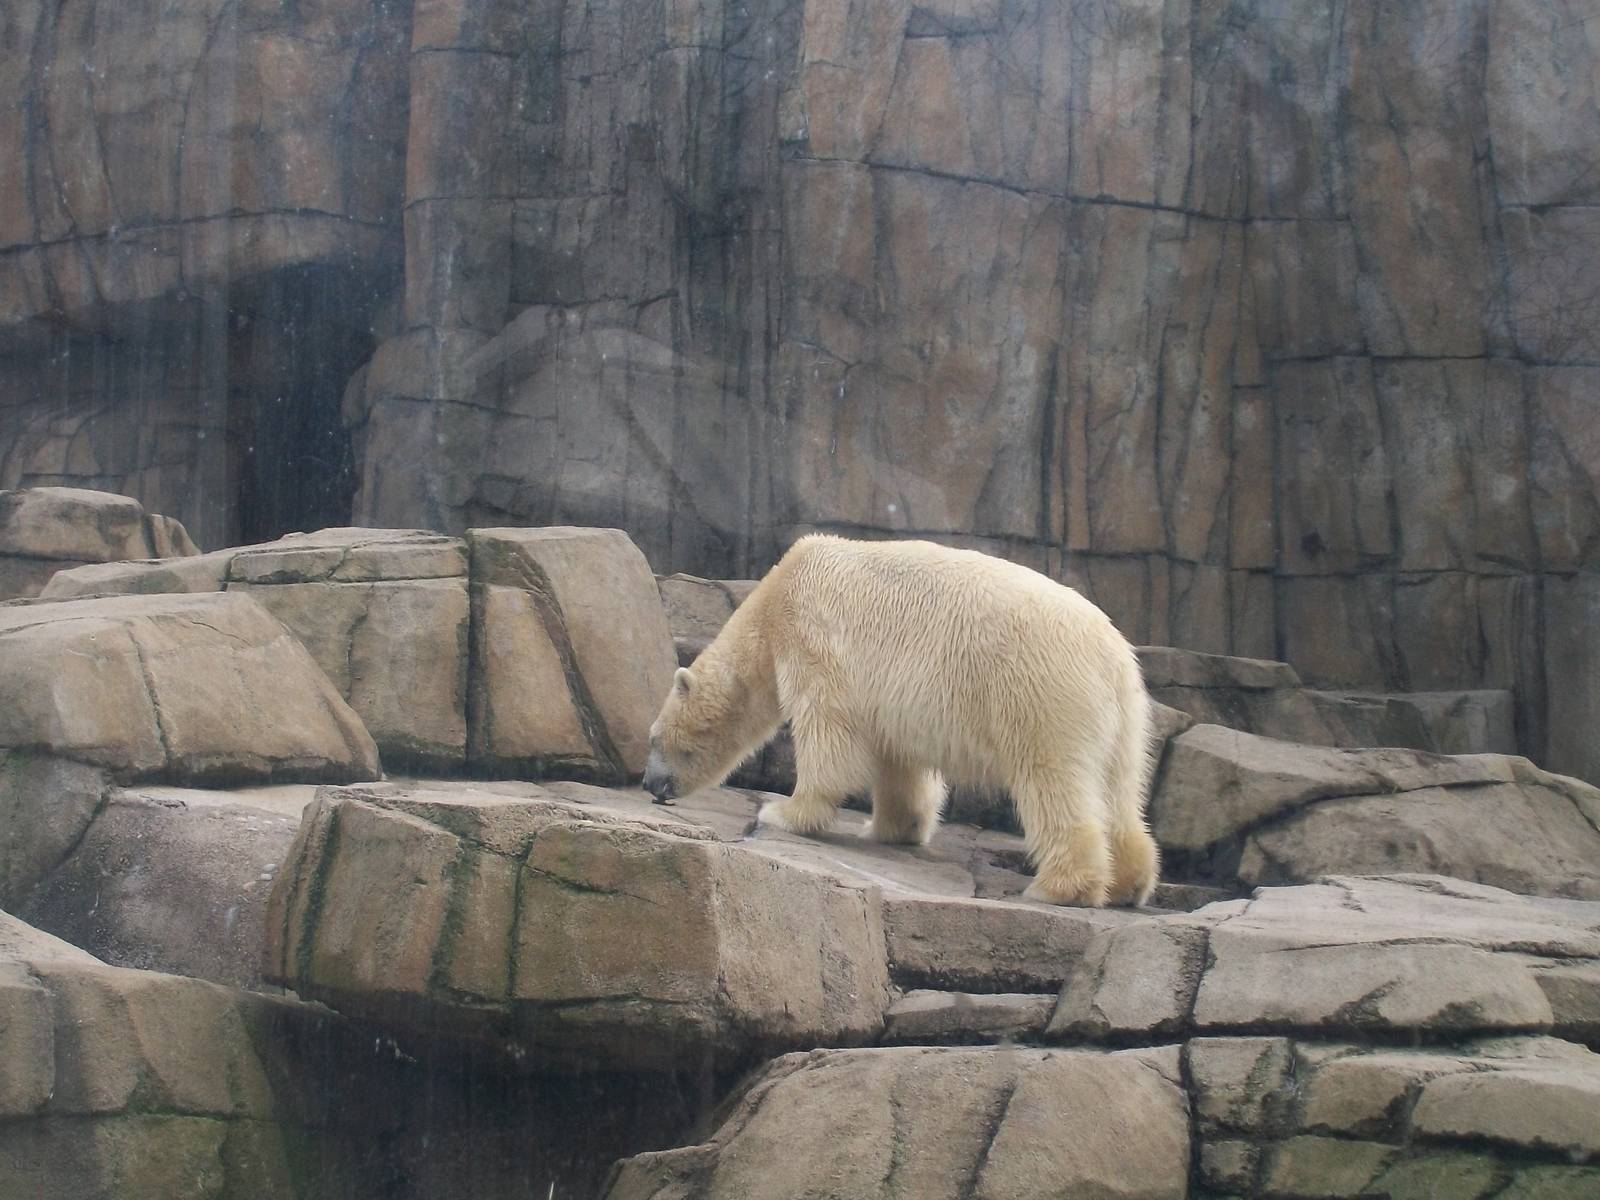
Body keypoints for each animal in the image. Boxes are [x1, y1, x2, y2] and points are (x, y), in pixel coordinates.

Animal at [641, 534, 1160, 907]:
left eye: (654, 739)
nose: (650, 784)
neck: (774, 600)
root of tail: (1112, 657)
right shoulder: (889, 699)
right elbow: (898, 761)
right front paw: (890, 828)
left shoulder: (815, 640)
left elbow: (827, 733)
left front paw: (785, 812)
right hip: (1125, 719)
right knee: (1119, 791)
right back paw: (1129, 884)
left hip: (1040, 693)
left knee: (1052, 780)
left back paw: (1059, 887)